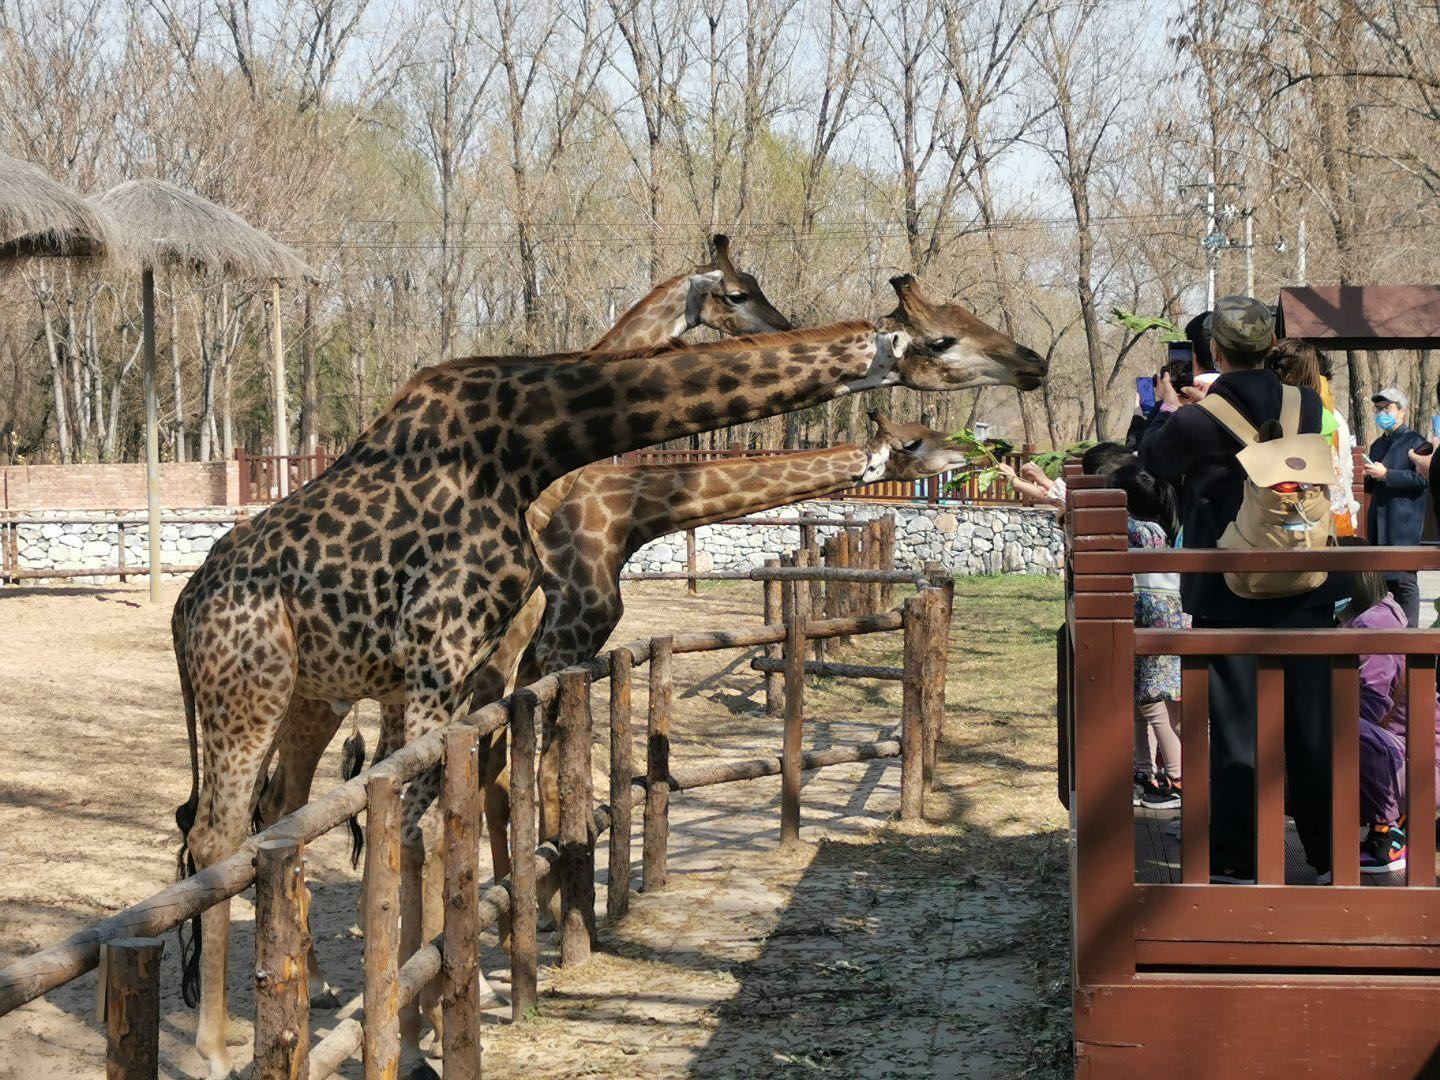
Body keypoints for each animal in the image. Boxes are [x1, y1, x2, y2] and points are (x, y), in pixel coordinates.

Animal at [174, 272, 1042, 1080]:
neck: (537, 452)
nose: (1031, 364)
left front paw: (508, 954)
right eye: (941, 343)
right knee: (223, 831)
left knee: (267, 810)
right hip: (251, 686)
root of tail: (185, 610)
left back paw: (294, 991)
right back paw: (216, 1045)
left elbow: (500, 792)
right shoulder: (463, 653)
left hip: (312, 691)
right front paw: (433, 1025)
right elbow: (445, 819)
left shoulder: (493, 666)